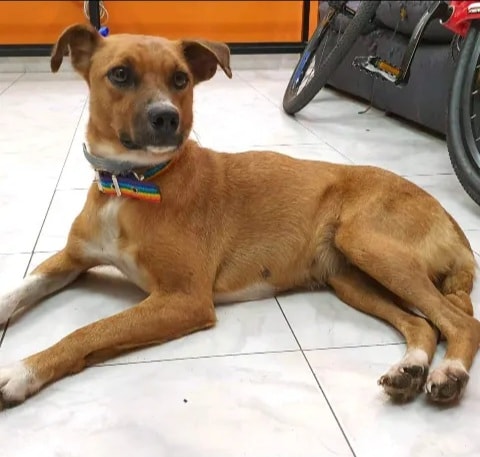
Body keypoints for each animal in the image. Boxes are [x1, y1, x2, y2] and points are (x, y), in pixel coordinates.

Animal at [0, 23, 479, 410]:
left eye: (181, 79)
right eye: (120, 74)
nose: (166, 117)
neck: (132, 182)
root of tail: (455, 228)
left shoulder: (184, 299)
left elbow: (90, 331)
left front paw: (21, 371)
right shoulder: (71, 258)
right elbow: (20, 290)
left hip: (369, 245)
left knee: (461, 322)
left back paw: (450, 372)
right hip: (351, 278)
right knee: (424, 325)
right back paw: (411, 368)